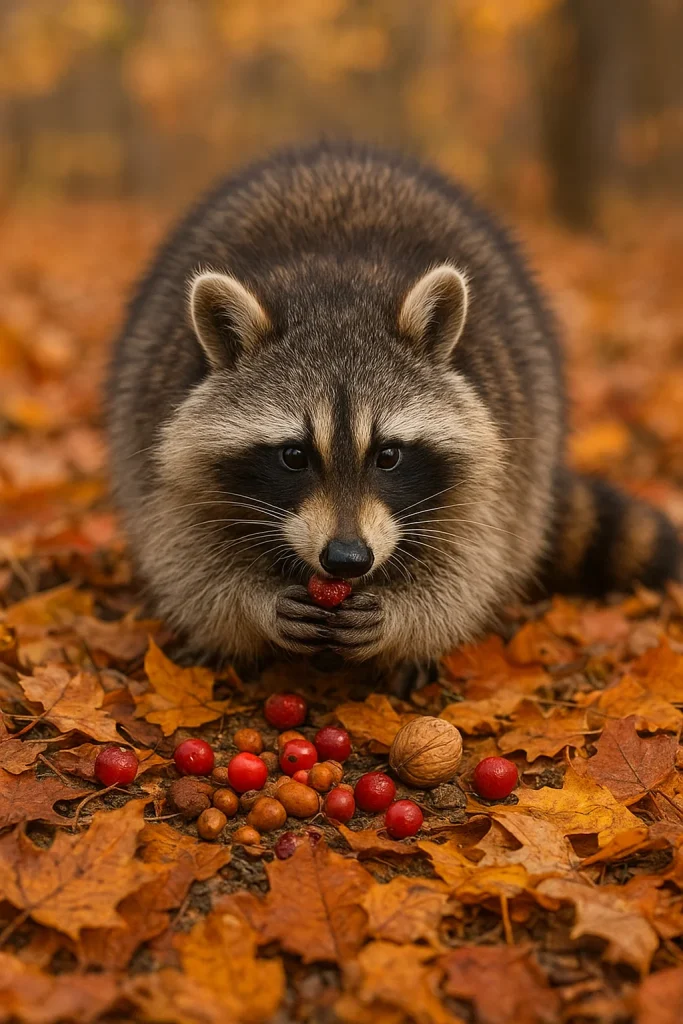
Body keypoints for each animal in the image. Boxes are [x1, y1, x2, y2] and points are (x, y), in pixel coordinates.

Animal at [106, 142, 680, 682]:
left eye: (388, 455)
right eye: (294, 455)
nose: (347, 559)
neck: (334, 295)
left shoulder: (501, 448)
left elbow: (475, 560)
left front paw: (405, 619)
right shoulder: (156, 429)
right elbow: (185, 553)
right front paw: (252, 604)